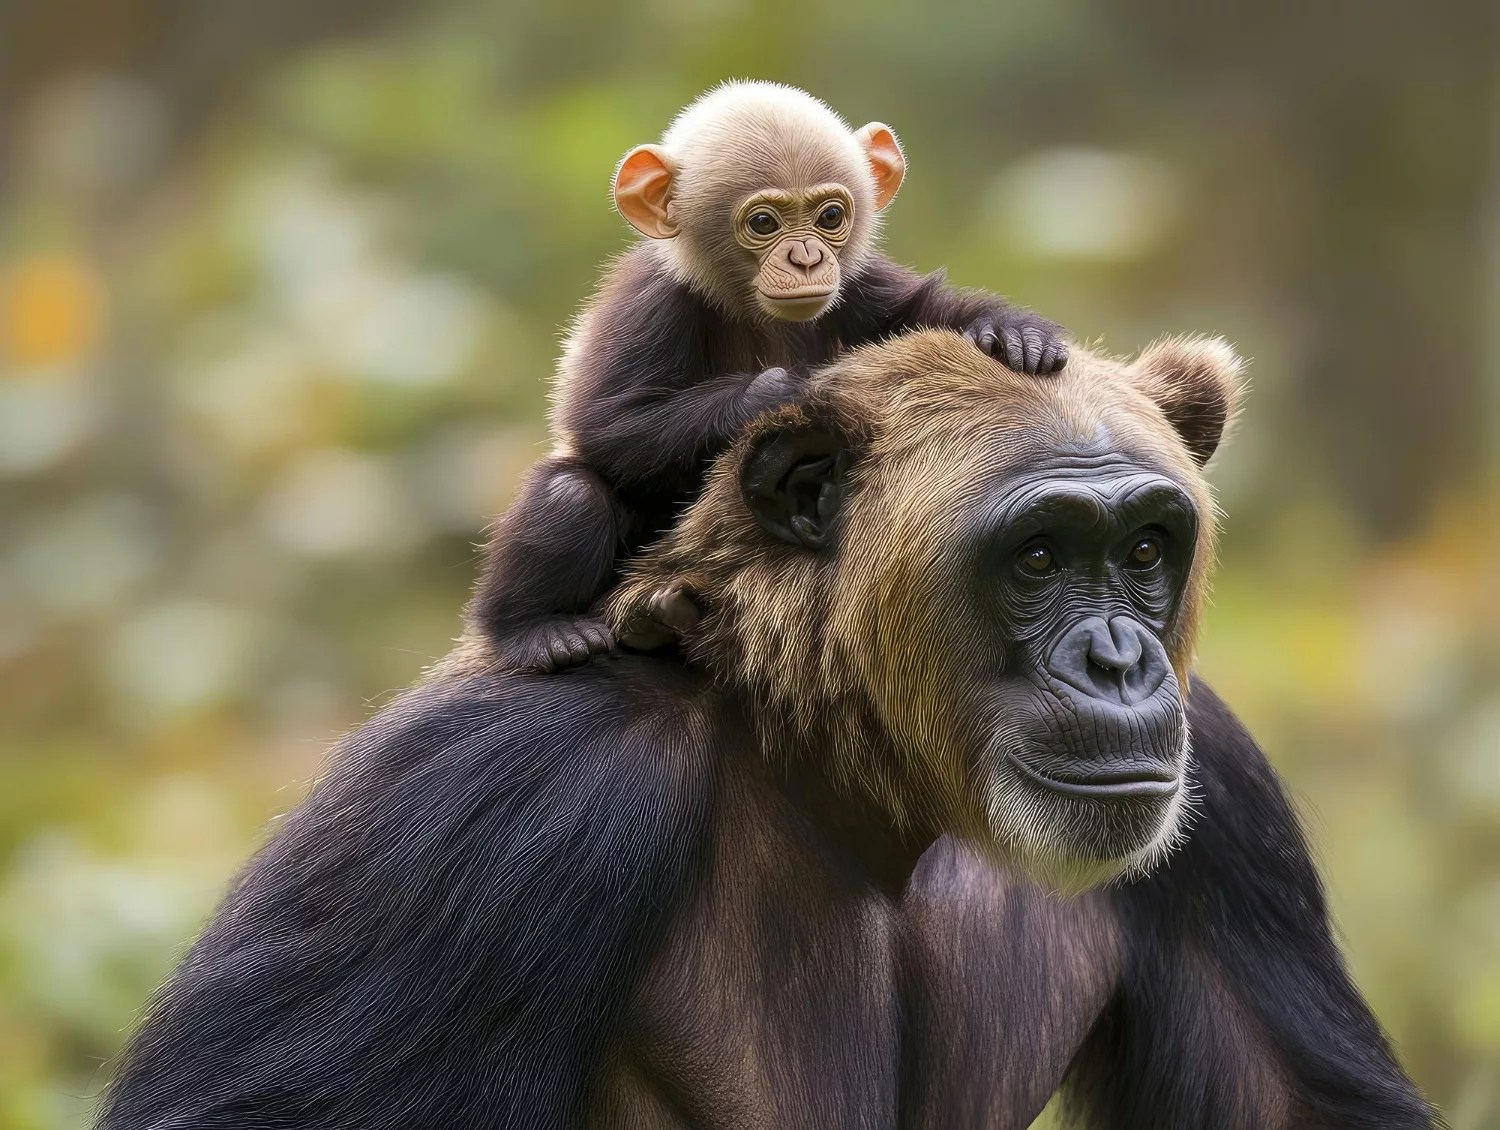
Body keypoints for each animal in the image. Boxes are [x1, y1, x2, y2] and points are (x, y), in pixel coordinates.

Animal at [95, 329, 1434, 1129]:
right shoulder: (491, 801)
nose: (1118, 659)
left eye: (1147, 547)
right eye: (1042, 554)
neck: (853, 778)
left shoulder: (1230, 813)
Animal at [472, 81, 1069, 672]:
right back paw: (541, 630)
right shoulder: (650, 302)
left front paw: (1011, 330)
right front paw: (791, 388)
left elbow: (918, 311)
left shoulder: (860, 283)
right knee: (571, 494)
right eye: (764, 223)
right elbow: (608, 422)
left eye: (830, 217)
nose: (805, 258)